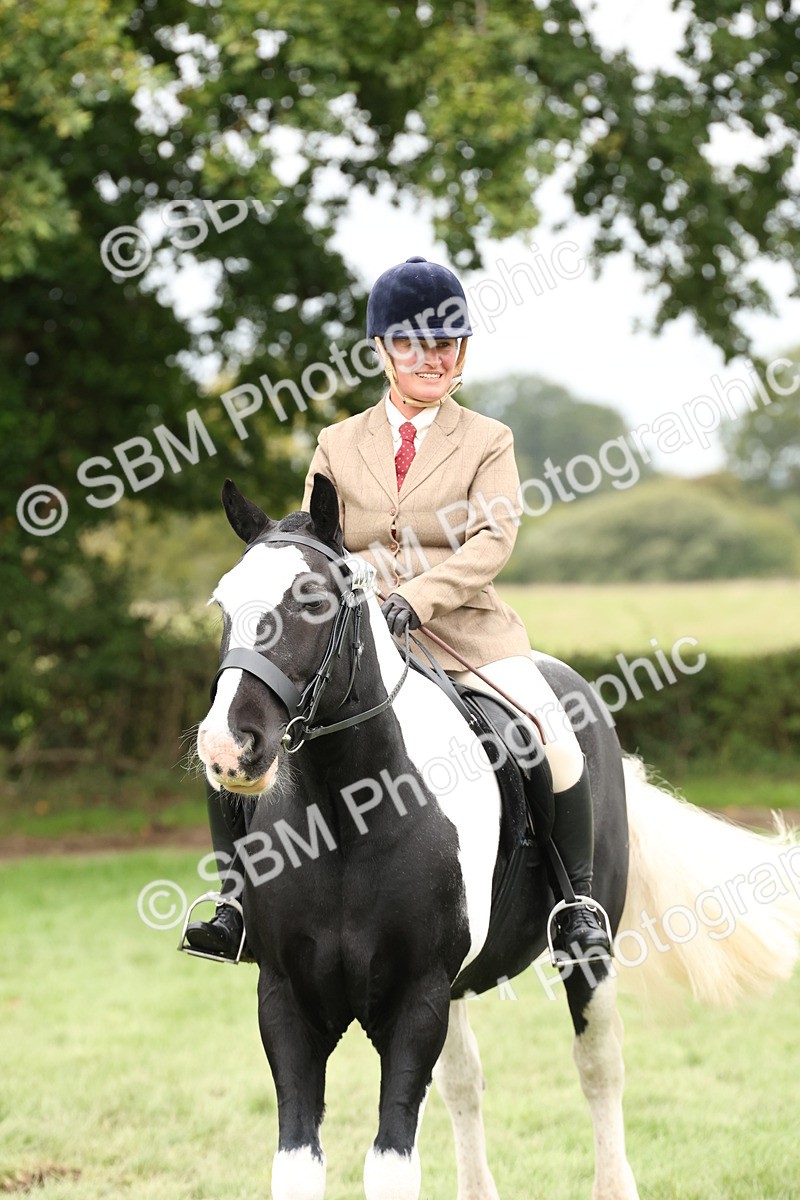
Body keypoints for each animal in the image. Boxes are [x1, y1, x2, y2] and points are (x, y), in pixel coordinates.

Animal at [193, 474, 800, 1200]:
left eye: (312, 599)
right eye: (223, 603)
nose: (227, 747)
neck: (346, 813)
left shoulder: (416, 999)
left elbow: (391, 1165)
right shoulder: (288, 1002)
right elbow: (297, 1164)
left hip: (583, 955)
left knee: (599, 1066)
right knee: (464, 1083)